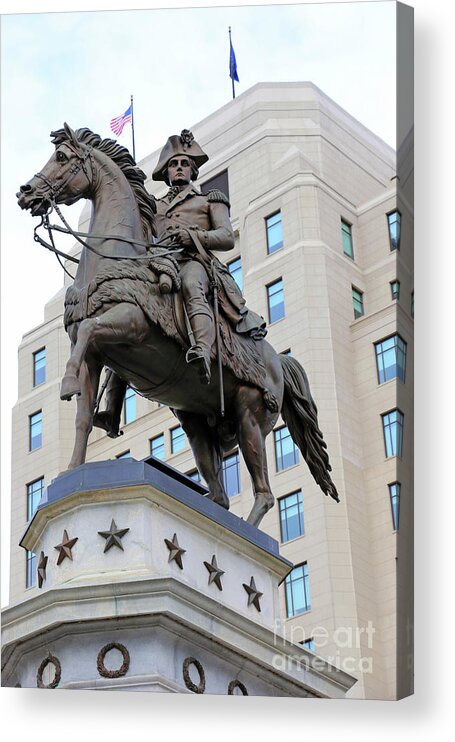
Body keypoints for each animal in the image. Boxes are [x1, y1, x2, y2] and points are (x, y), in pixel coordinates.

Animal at [16, 123, 340, 528]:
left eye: (61, 157)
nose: (25, 192)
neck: (114, 259)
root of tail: (279, 361)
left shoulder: (131, 325)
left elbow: (90, 333)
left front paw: (66, 383)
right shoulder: (97, 356)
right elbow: (82, 418)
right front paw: (73, 469)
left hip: (250, 417)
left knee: (265, 493)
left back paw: (245, 531)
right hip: (196, 423)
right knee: (220, 495)